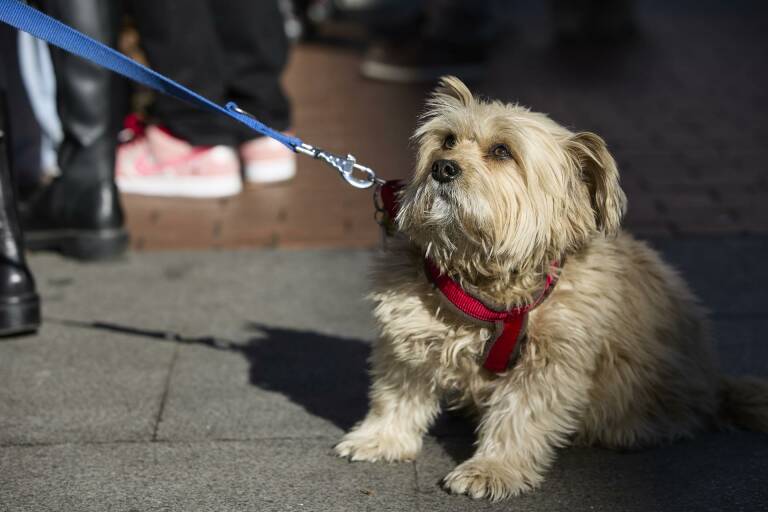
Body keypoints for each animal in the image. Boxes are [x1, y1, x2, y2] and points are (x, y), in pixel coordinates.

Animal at [336, 77, 768, 500]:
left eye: (502, 151)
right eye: (447, 140)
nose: (442, 167)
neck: (488, 283)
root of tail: (715, 387)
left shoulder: (550, 361)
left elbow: (519, 417)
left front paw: (492, 469)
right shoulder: (408, 331)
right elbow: (397, 393)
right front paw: (380, 438)